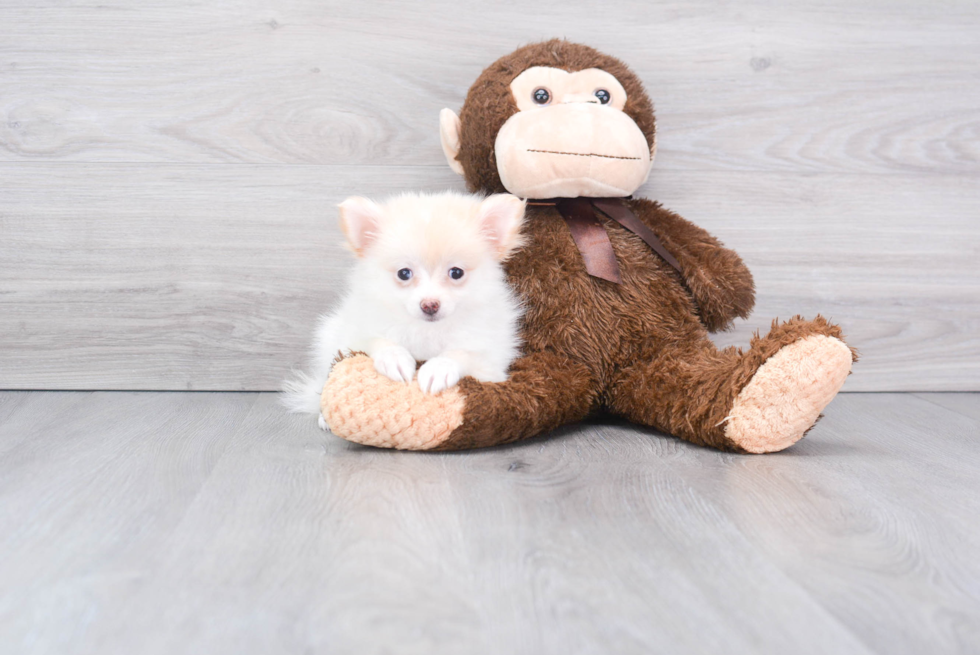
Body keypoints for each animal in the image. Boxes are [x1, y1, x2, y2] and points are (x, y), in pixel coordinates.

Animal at [282, 191, 528, 426]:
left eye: (456, 273)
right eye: (404, 273)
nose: (430, 304)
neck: (427, 331)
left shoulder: (491, 360)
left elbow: (462, 354)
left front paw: (439, 368)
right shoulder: (356, 334)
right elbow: (377, 341)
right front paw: (395, 359)